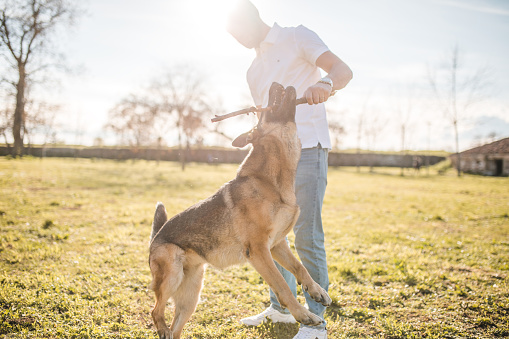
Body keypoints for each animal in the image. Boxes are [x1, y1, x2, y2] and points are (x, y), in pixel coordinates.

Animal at [147, 83, 332, 339]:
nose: (276, 84)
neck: (269, 181)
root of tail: (156, 237)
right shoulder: (258, 251)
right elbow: (283, 285)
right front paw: (304, 315)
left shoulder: (277, 245)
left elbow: (300, 267)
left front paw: (316, 290)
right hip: (172, 274)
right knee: (155, 311)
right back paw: (162, 328)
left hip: (191, 296)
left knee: (174, 327)